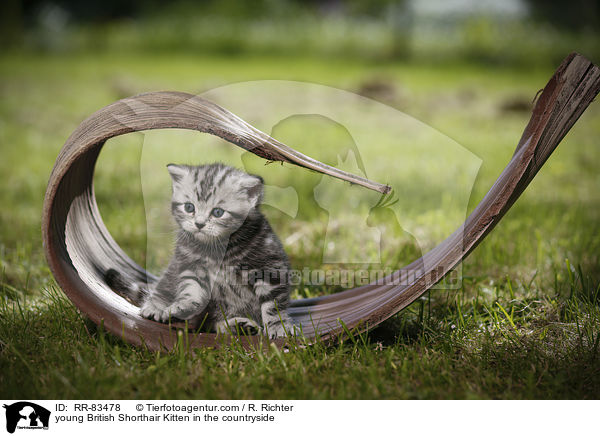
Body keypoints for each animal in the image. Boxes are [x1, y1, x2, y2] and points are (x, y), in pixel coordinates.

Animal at [108, 163, 296, 338]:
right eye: (189, 207)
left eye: (218, 212)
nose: (199, 224)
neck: (218, 250)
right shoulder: (190, 265)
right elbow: (191, 289)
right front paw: (182, 306)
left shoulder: (270, 266)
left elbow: (273, 305)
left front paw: (278, 327)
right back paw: (156, 307)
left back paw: (241, 326)